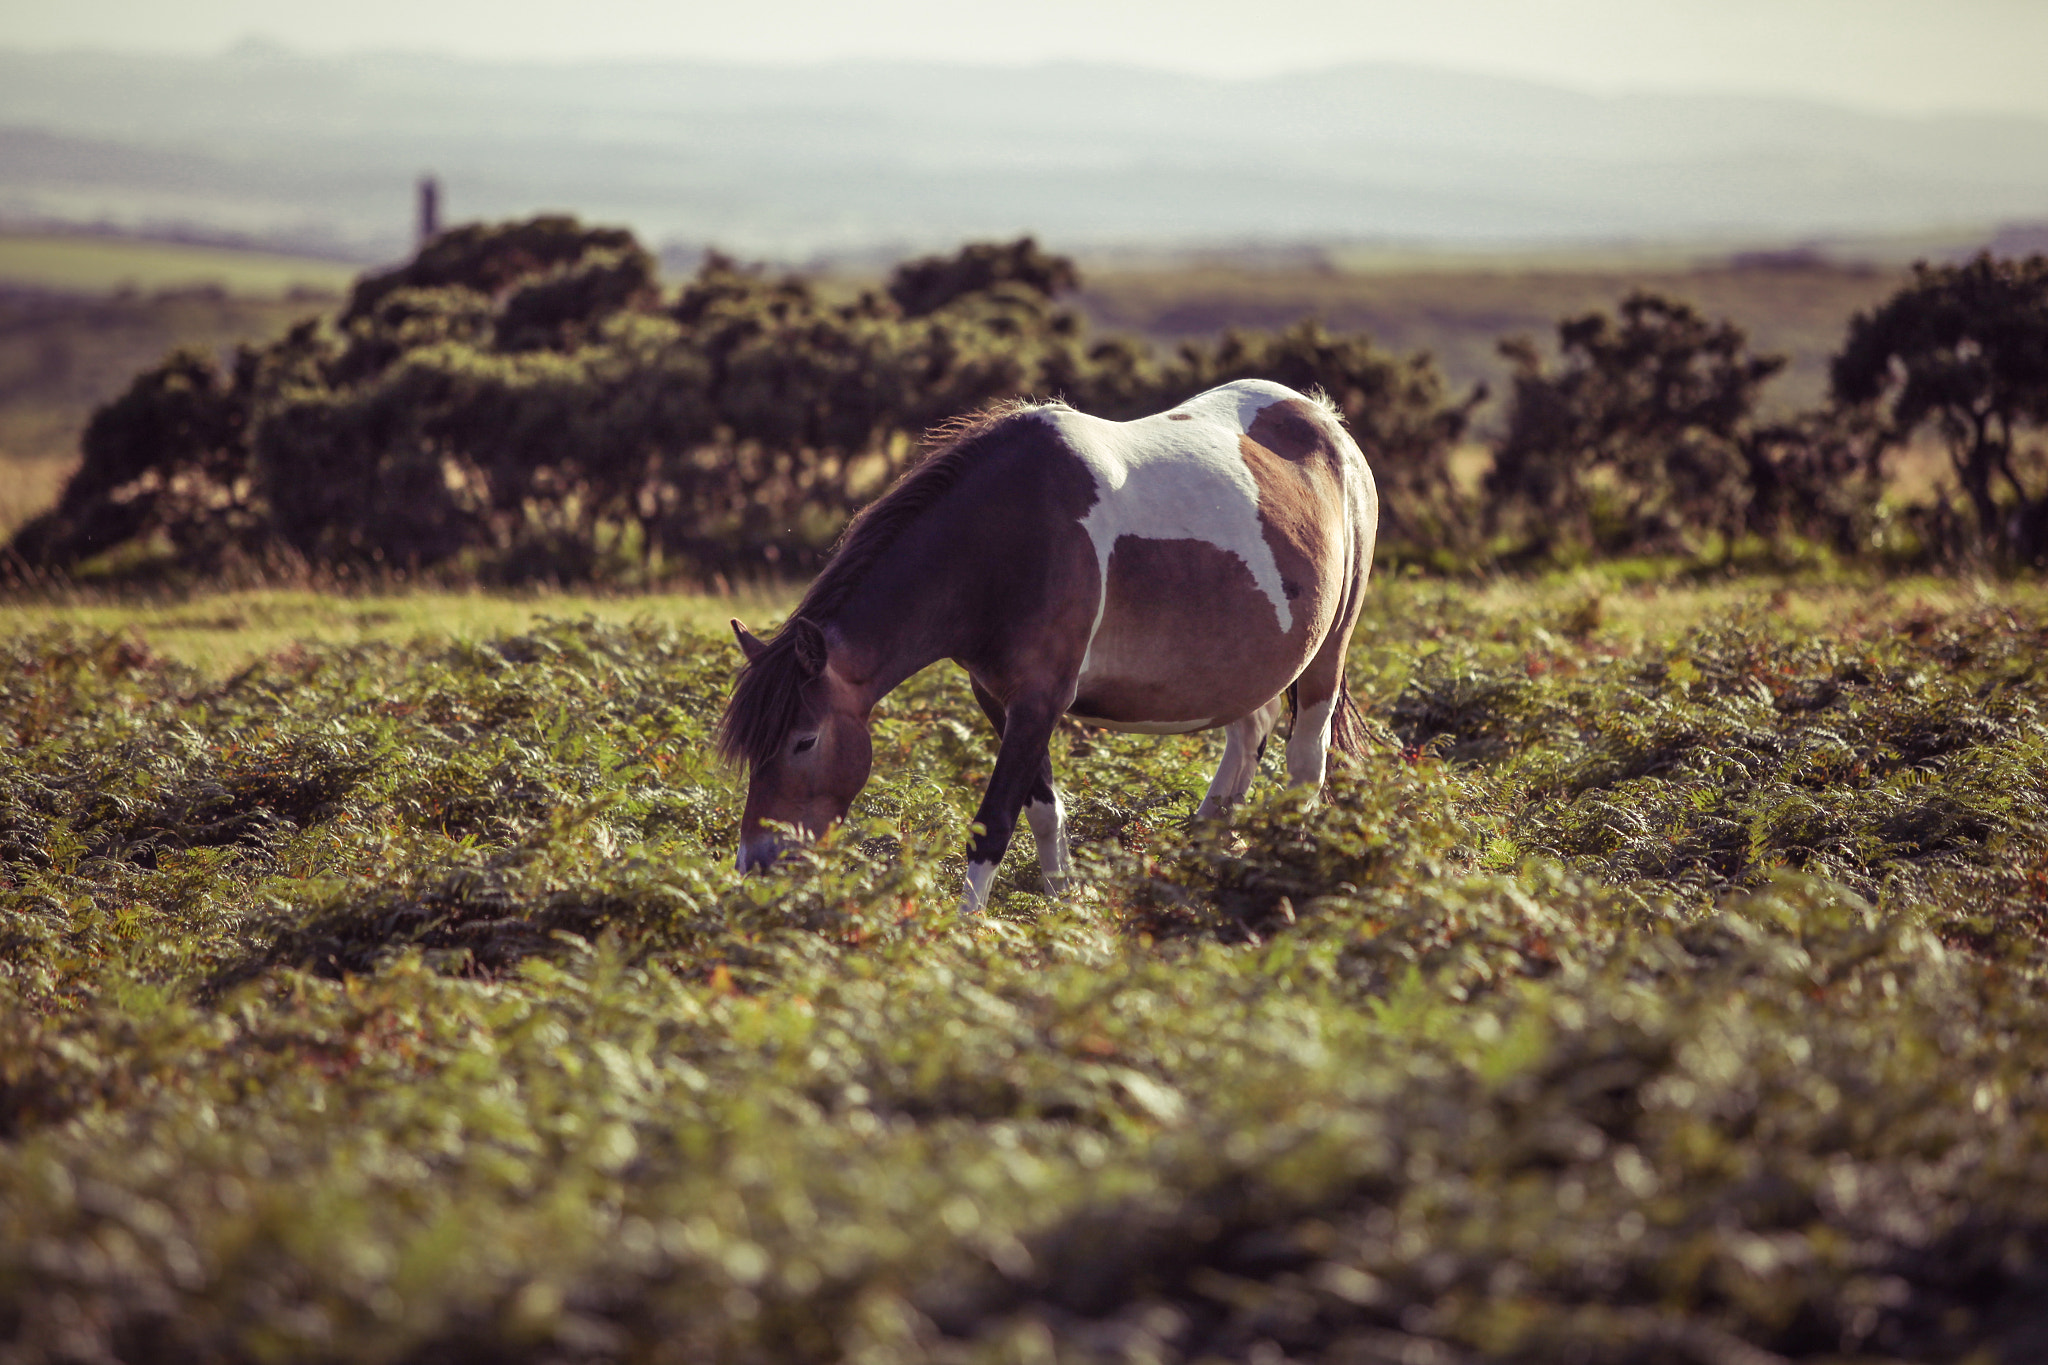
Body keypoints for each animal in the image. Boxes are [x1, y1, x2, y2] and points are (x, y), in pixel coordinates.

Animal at [720, 378, 1376, 912]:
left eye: (804, 740)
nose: (758, 862)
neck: (1004, 541)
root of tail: (1321, 417)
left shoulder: (1041, 702)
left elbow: (993, 824)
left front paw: (968, 930)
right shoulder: (1000, 699)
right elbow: (1043, 810)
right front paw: (1064, 912)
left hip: (1326, 656)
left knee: (1305, 762)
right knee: (1246, 738)